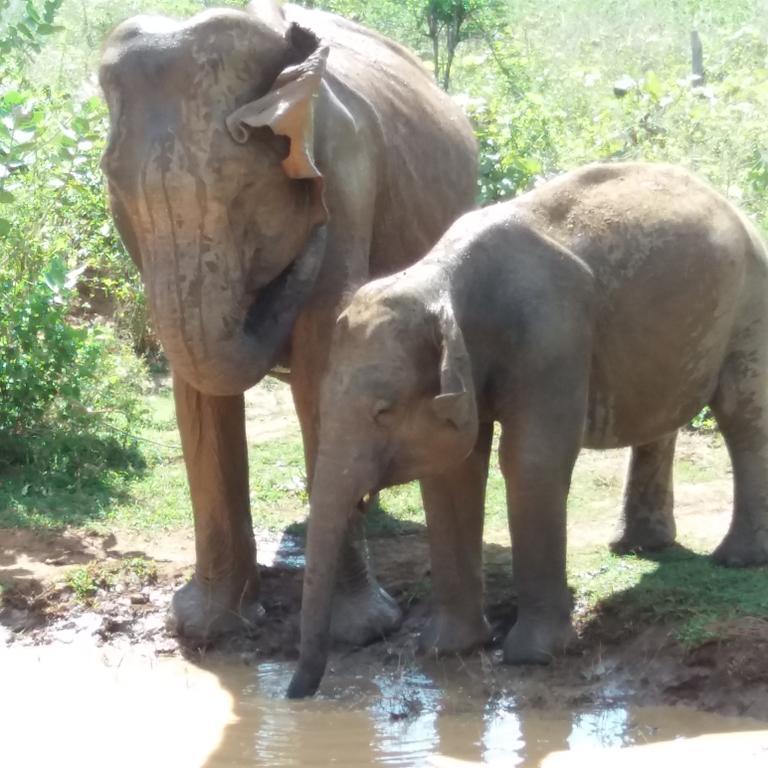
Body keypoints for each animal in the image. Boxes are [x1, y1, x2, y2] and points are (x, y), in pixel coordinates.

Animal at [99, 1, 476, 640]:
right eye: (114, 185)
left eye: (246, 189)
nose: (311, 228)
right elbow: (196, 383)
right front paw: (205, 628)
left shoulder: (347, 180)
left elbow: (324, 360)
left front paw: (358, 632)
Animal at [286, 162, 768, 696]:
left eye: (383, 412)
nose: (295, 694)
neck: (442, 279)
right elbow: (453, 471)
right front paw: (447, 649)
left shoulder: (551, 336)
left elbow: (531, 462)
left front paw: (532, 657)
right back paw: (639, 547)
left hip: (750, 300)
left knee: (742, 412)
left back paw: (737, 560)